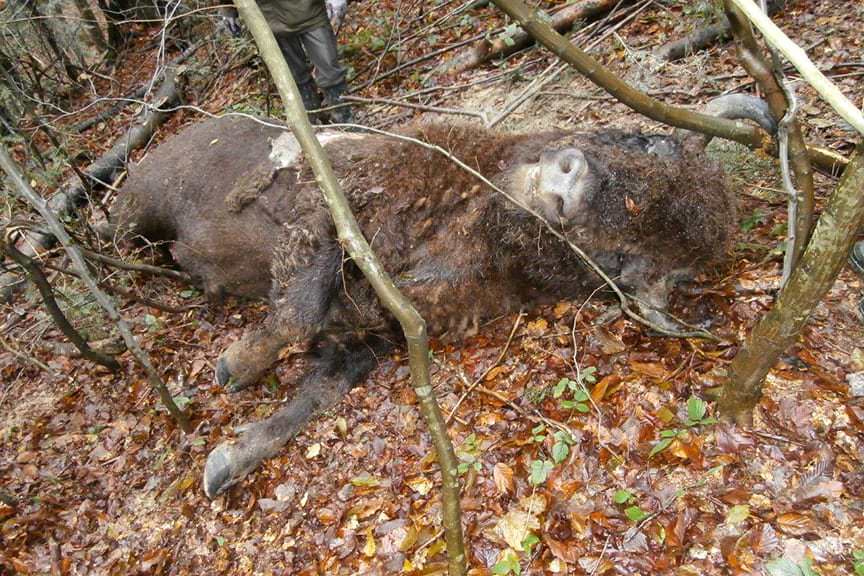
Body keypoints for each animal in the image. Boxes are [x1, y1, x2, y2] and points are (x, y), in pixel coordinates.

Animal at [111, 95, 772, 496]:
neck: (474, 220)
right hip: (135, 209)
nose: (567, 181)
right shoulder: (334, 212)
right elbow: (297, 312)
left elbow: (312, 393)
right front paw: (233, 367)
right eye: (645, 143)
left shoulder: (373, 334)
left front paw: (225, 460)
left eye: (623, 259)